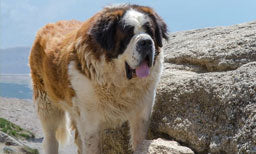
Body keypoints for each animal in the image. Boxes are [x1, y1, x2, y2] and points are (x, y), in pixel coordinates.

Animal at [29, 3, 168, 154]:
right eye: (128, 33)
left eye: (150, 32)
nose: (146, 42)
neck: (119, 82)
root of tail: (48, 26)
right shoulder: (90, 123)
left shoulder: (142, 114)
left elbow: (140, 141)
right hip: (47, 104)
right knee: (51, 137)